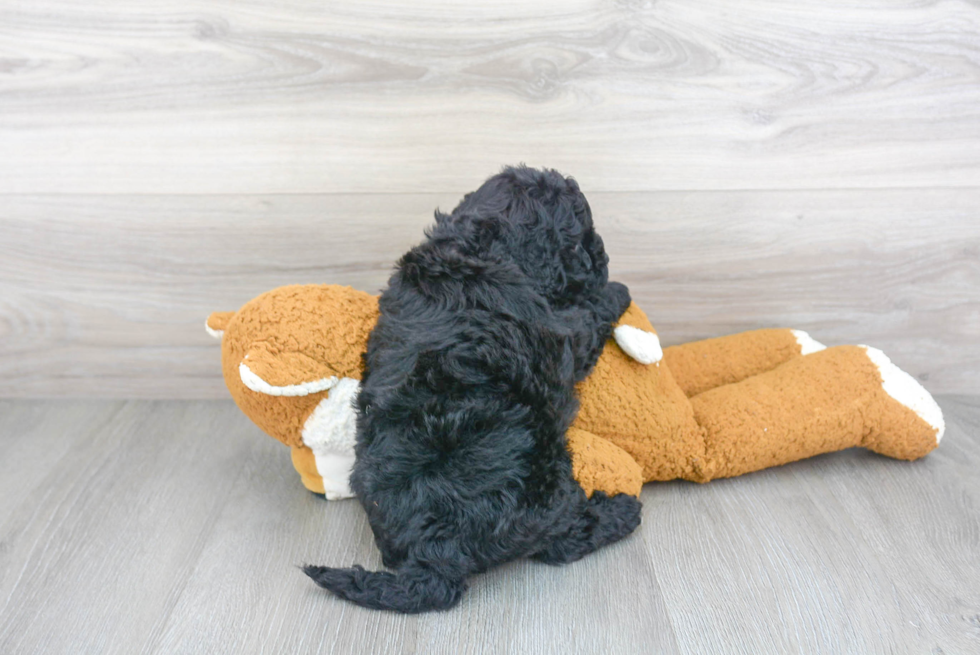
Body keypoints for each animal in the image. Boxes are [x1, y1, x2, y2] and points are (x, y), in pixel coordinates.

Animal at [308, 167, 644, 612]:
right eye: (584, 238)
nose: (603, 259)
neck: (480, 246)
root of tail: (435, 555)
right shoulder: (569, 337)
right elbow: (592, 315)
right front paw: (618, 290)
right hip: (547, 485)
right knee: (563, 542)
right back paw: (622, 511)